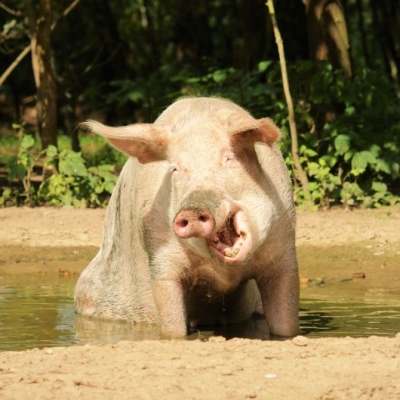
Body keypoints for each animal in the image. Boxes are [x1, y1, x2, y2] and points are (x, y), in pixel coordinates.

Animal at [74, 97, 300, 338]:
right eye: (175, 169)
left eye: (229, 158)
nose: (192, 209)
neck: (224, 274)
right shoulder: (161, 258)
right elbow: (171, 318)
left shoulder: (284, 248)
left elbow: (286, 319)